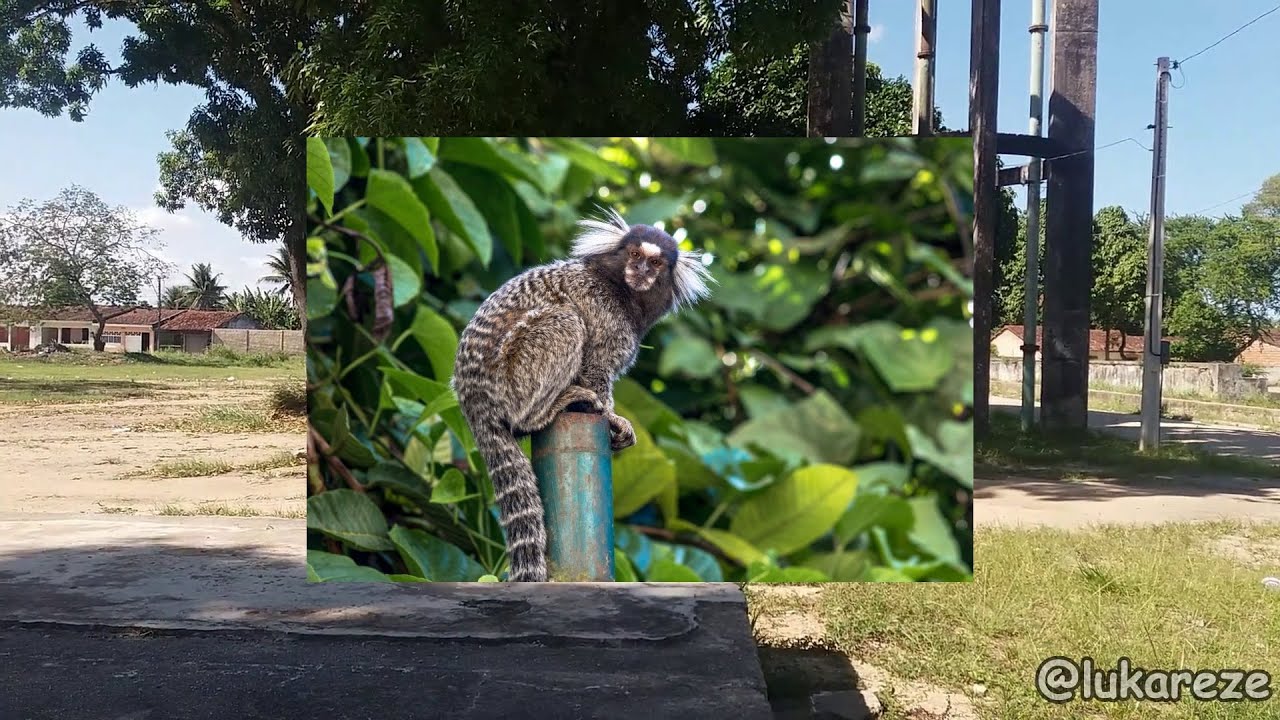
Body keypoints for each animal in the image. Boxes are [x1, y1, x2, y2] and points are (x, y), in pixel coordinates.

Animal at [450, 208, 713, 582]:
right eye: (634, 255)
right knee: (566, 322)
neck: (621, 291)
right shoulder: (604, 317)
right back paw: (543, 411)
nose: (640, 271)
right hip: (513, 375)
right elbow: (595, 369)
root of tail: (471, 399)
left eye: (656, 263)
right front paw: (611, 417)